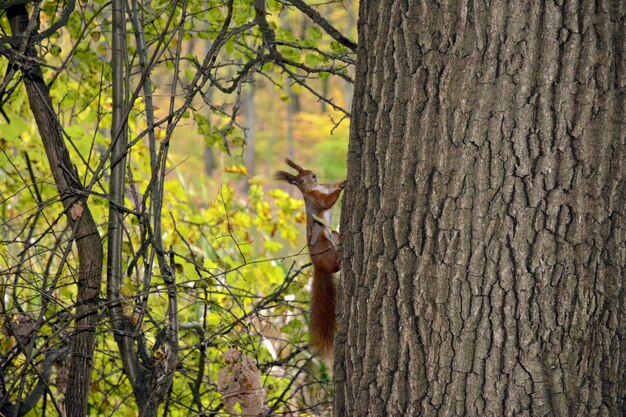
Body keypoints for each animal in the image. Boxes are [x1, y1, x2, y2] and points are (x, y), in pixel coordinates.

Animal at [274, 158, 344, 356]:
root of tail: (318, 266)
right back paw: (338, 262)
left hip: (334, 236)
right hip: (324, 245)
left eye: (308, 171)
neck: (316, 187)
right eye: (301, 180)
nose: (313, 176)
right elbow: (327, 202)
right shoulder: (316, 199)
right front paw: (342, 186)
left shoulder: (325, 186)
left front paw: (342, 179)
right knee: (333, 266)